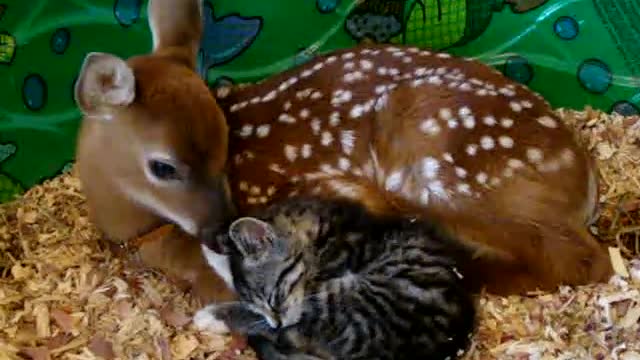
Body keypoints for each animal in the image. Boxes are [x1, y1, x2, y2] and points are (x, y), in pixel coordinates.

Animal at [72, 0, 612, 298]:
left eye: (227, 150)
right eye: (163, 167)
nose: (221, 232)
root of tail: (584, 173)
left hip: (449, 170)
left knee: (584, 260)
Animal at [195, 197, 476, 360]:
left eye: (274, 299)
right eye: (260, 305)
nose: (275, 321)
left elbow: (278, 327)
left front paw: (214, 315)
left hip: (347, 304)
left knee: (291, 334)